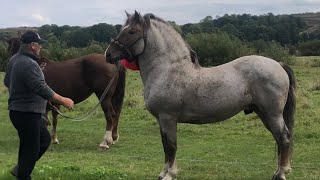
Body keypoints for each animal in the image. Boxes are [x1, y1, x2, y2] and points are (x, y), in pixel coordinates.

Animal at [104, 11, 296, 180]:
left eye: (131, 31)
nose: (109, 54)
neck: (168, 70)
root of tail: (278, 64)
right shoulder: (161, 120)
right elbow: (165, 146)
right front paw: (163, 172)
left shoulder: (168, 118)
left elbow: (171, 146)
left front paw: (170, 174)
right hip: (264, 113)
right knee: (279, 139)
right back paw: (280, 170)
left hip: (272, 114)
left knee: (284, 138)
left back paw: (280, 174)